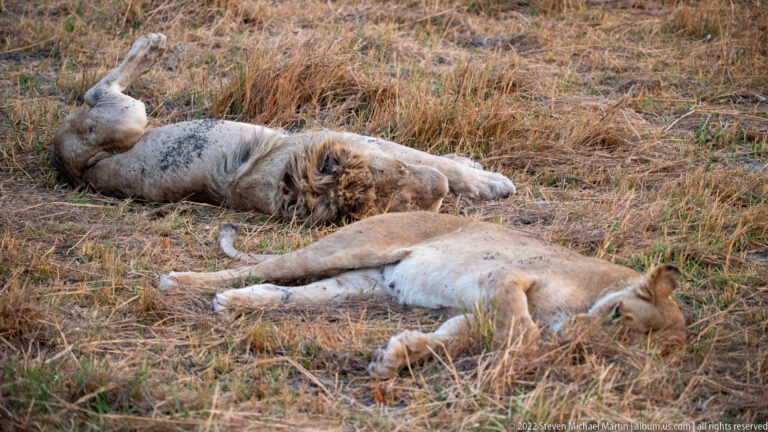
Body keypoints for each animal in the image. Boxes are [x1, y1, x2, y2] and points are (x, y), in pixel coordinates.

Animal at [51, 34, 516, 223]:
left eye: (398, 204)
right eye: (395, 185)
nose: (437, 193)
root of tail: (65, 166)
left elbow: (439, 159)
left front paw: (469, 165)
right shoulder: (354, 136)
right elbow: (437, 161)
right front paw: (490, 182)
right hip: (128, 118)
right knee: (98, 89)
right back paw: (150, 48)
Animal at [160, 211, 687, 379]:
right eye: (616, 314)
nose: (572, 339)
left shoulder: (478, 311)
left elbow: (447, 340)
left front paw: (395, 357)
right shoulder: (507, 278)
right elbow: (522, 335)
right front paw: (530, 352)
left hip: (357, 286)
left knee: (280, 291)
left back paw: (235, 304)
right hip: (351, 245)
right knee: (261, 267)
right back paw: (179, 283)